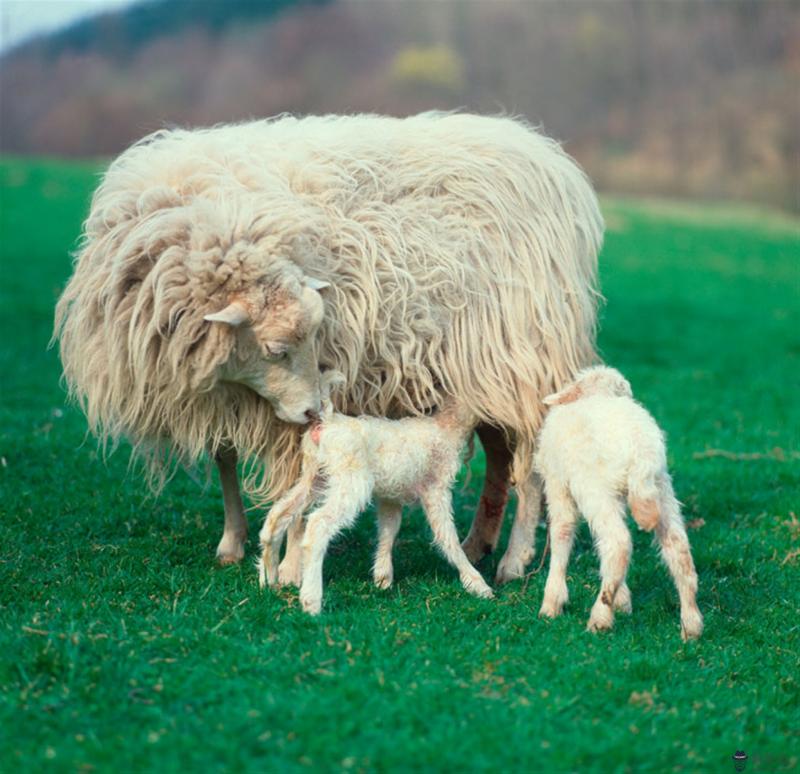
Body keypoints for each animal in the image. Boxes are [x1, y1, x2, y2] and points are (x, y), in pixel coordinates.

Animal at [53, 112, 604, 580]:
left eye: (312, 338)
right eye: (275, 349)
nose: (317, 409)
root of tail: (549, 160)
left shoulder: (280, 414)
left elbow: (295, 485)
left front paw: (292, 568)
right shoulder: (224, 393)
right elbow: (226, 462)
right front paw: (232, 542)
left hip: (518, 359)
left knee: (528, 466)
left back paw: (513, 559)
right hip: (477, 375)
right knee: (500, 457)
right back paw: (477, 544)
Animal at [260, 378, 490, 620]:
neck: (446, 426)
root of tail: (327, 421)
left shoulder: (390, 495)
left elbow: (389, 529)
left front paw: (382, 578)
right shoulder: (435, 488)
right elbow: (447, 537)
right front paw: (476, 583)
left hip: (314, 477)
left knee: (278, 514)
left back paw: (267, 579)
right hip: (350, 481)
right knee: (318, 524)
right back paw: (311, 601)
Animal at [536, 368, 704, 644]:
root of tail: (641, 453)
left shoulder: (558, 485)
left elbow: (562, 532)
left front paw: (551, 605)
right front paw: (623, 601)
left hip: (595, 487)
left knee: (618, 543)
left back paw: (600, 618)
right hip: (661, 488)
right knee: (678, 548)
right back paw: (691, 625)